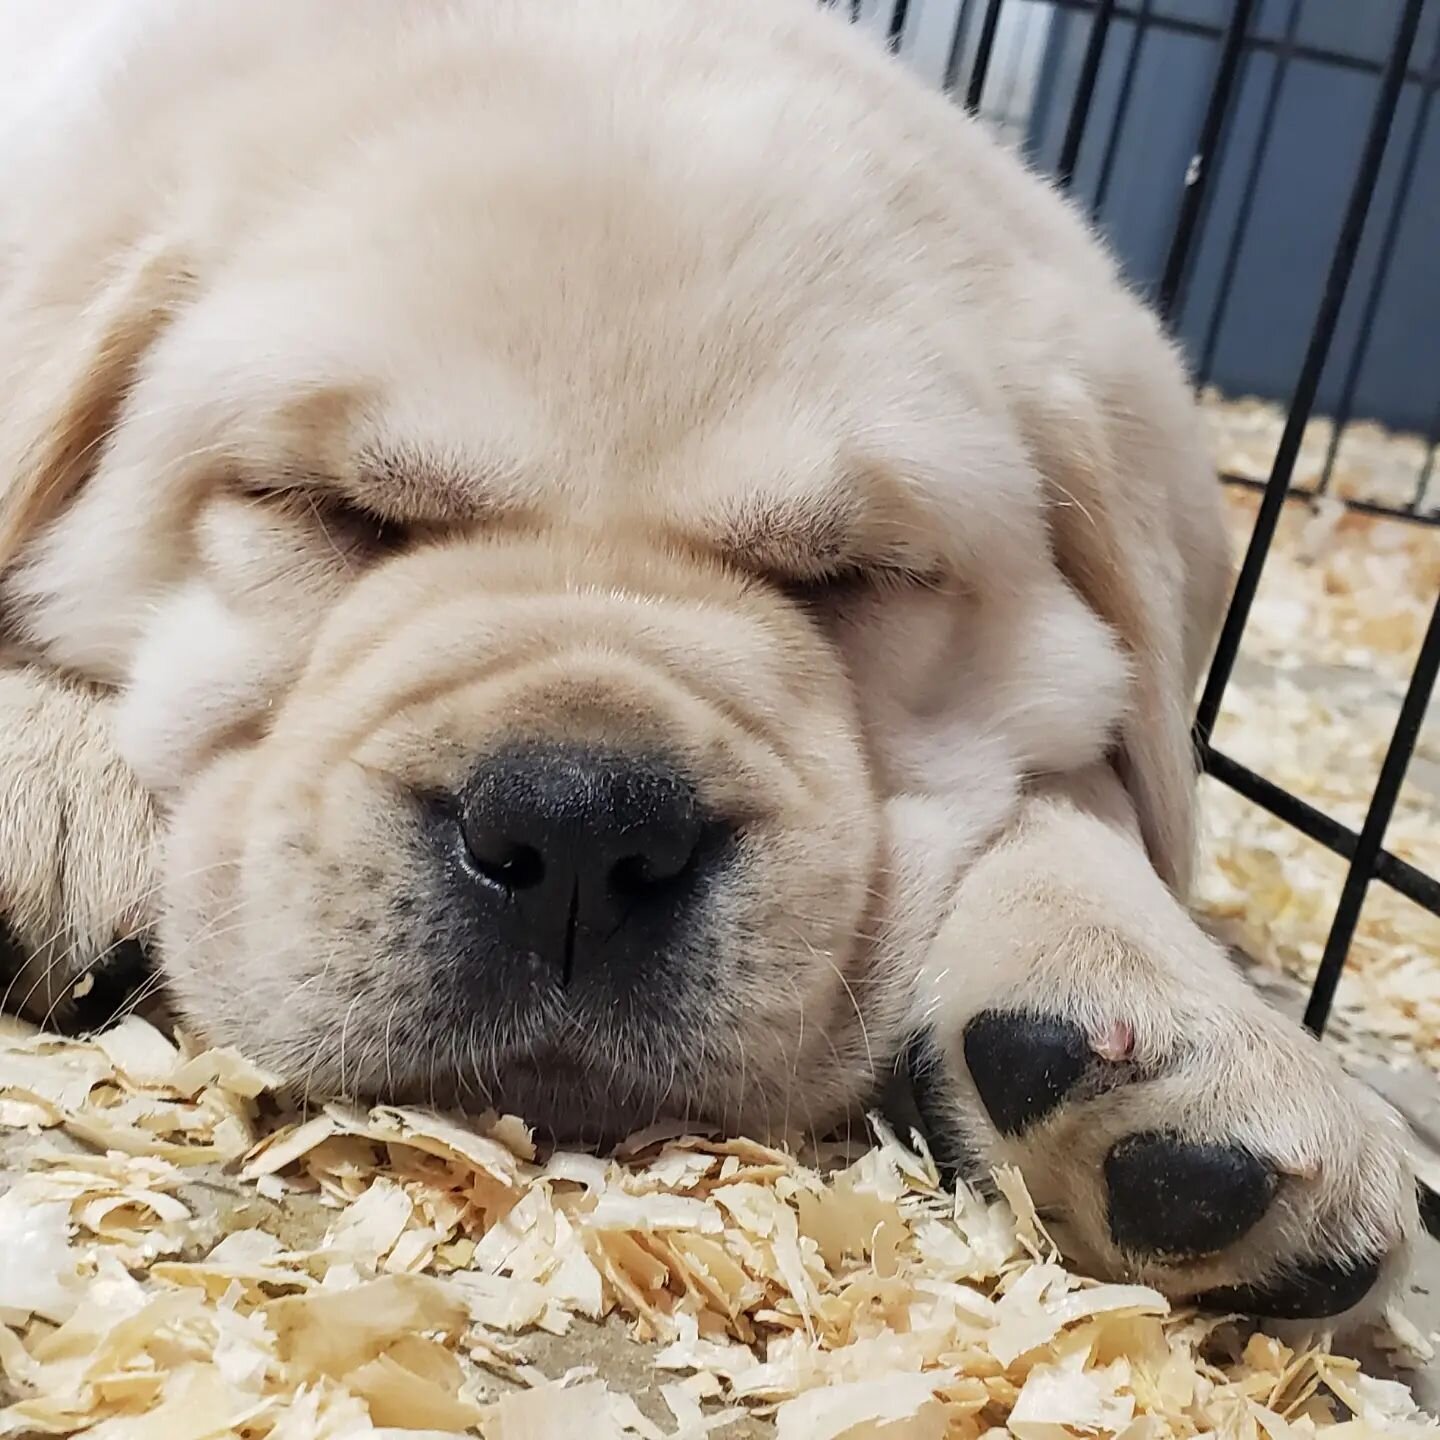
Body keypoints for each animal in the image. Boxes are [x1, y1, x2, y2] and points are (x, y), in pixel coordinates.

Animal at [0, 0, 1416, 1319]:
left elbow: (1086, 786)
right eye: (334, 511)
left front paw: (1175, 1024)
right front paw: (45, 783)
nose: (580, 824)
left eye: (849, 578)